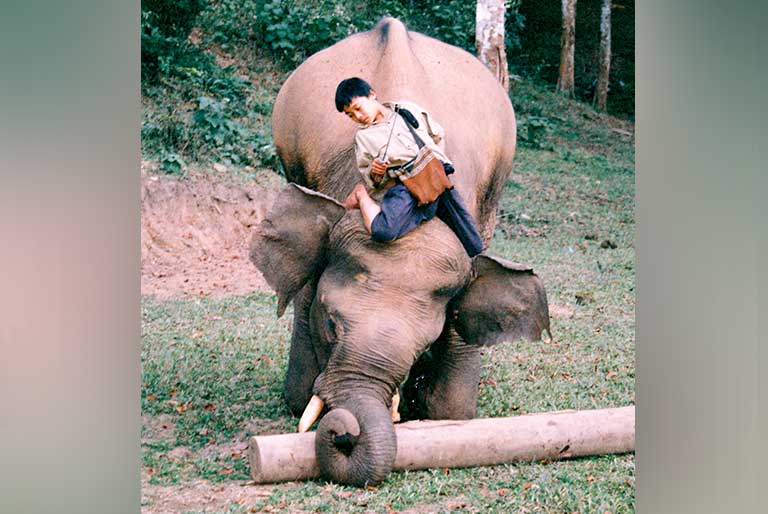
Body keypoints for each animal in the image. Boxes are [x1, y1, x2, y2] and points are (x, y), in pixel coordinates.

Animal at [249, 18, 551, 486]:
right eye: (330, 324)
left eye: (422, 343)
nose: (344, 432)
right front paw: (301, 402)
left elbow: (453, 410)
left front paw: (435, 410)